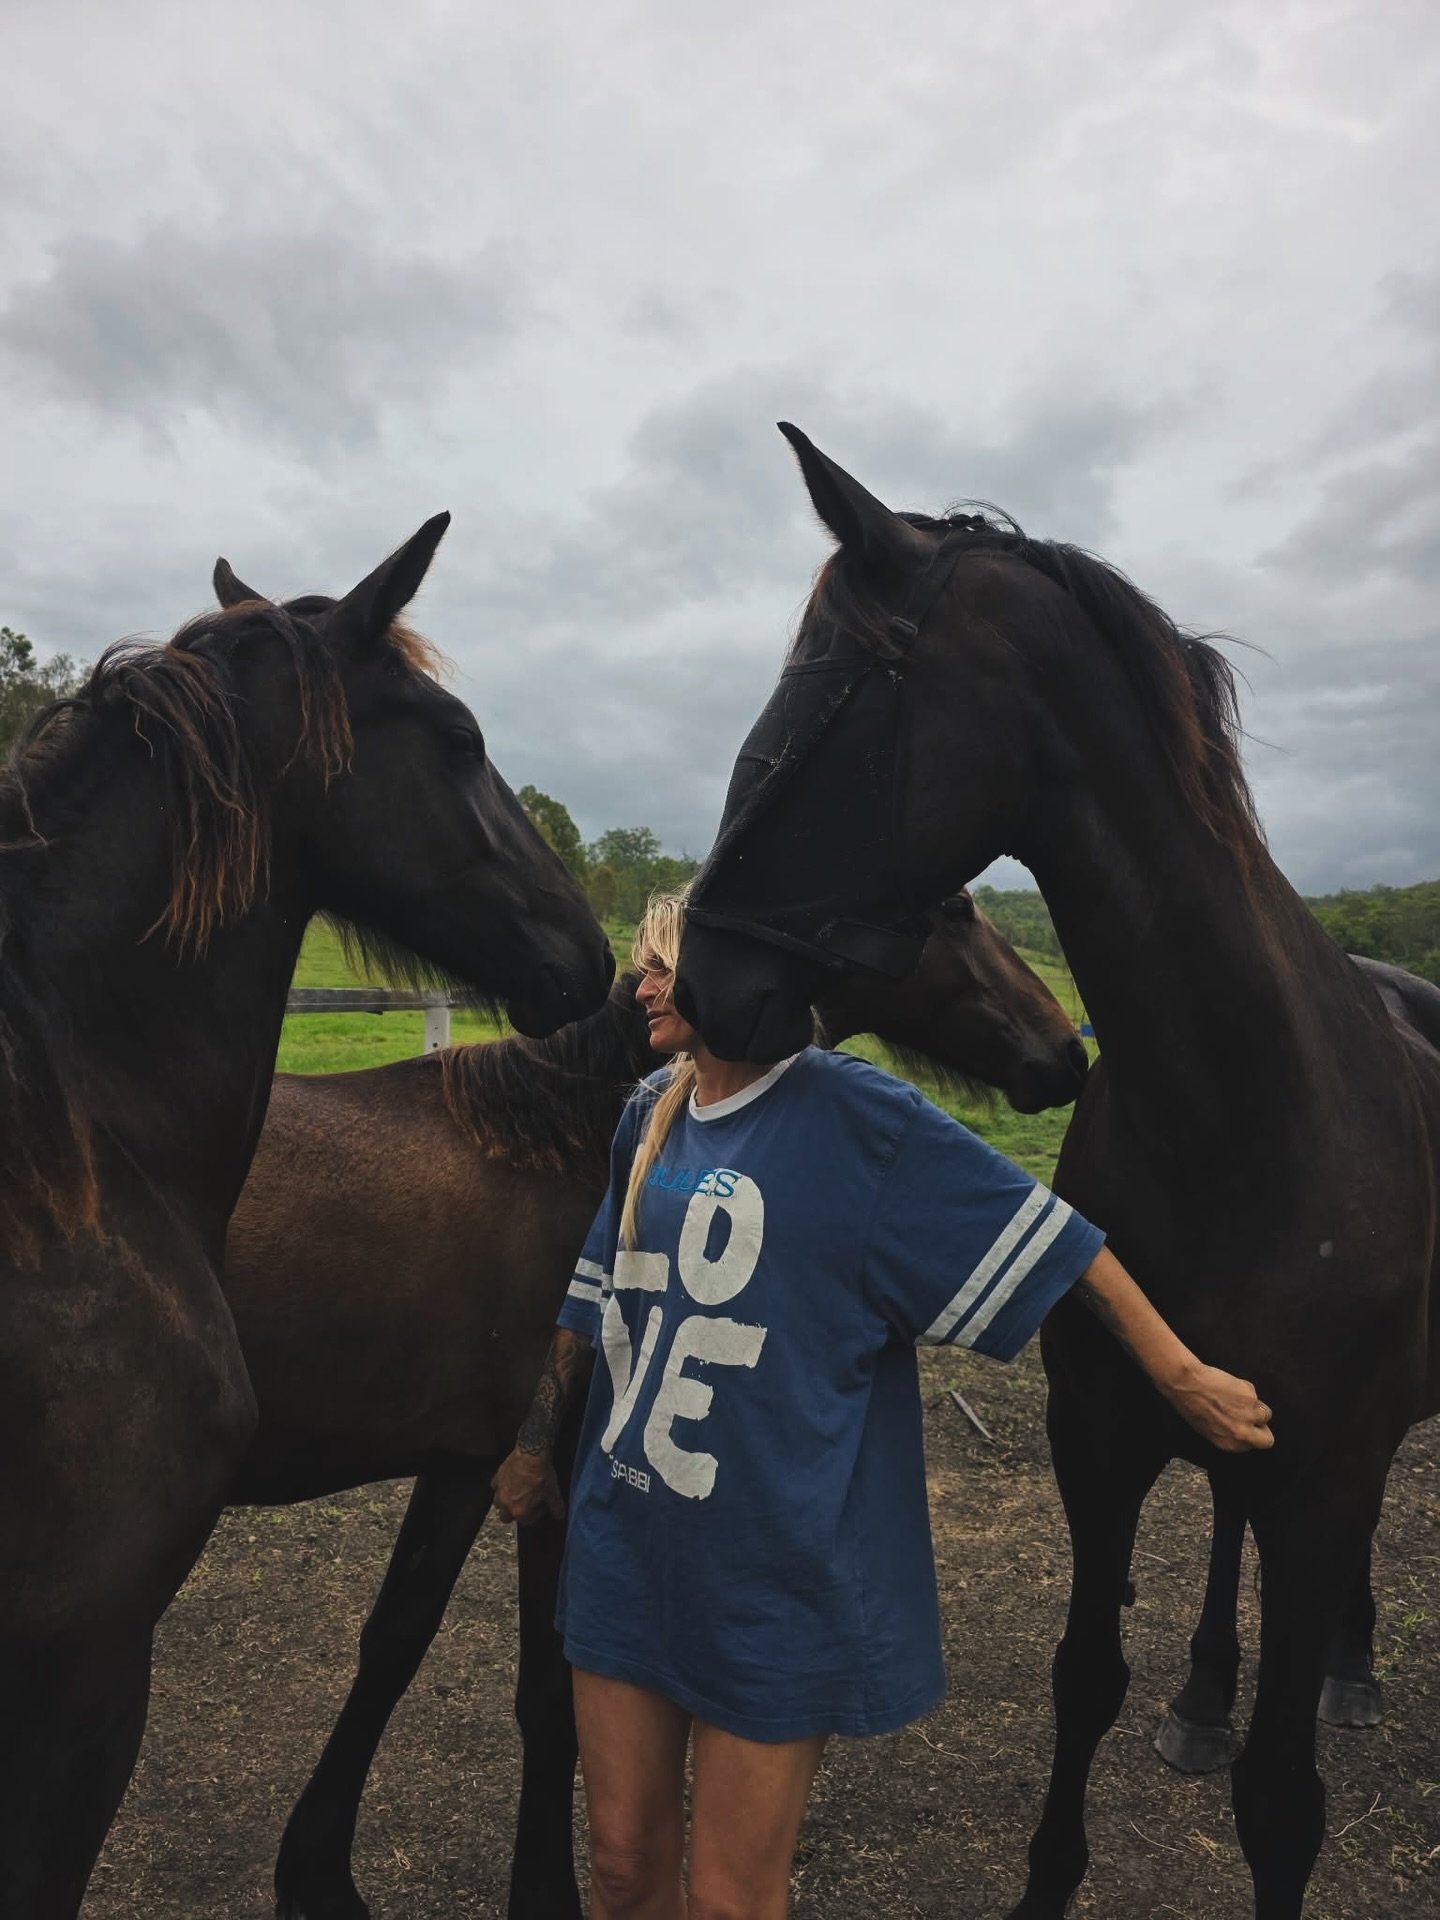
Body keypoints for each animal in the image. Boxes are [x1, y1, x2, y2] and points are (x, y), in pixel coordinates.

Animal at [674, 426, 1440, 1920]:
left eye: (835, 691)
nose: (706, 984)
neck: (1250, 1118)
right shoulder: (1100, 1443)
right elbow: (1085, 1679)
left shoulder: (1324, 1475)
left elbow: (1283, 1803)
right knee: (1223, 1534)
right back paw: (1206, 1694)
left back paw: (1352, 1668)